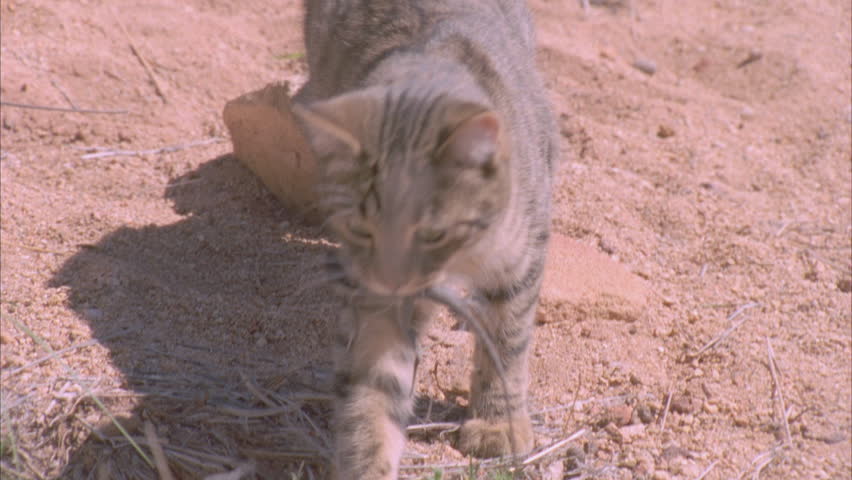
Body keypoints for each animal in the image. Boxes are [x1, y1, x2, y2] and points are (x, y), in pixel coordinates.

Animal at [292, 1, 556, 478]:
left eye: (432, 232)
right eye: (362, 228)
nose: (394, 278)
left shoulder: (521, 259)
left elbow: (506, 342)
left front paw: (498, 424)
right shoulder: (375, 299)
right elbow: (372, 391)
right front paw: (367, 463)